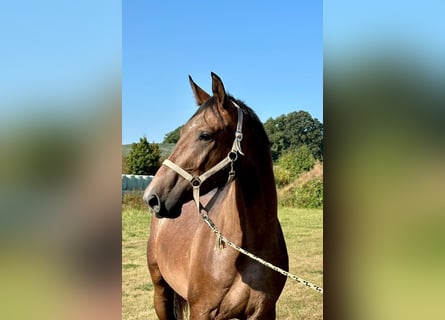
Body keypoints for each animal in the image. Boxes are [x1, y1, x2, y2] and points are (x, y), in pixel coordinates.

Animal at [143, 73, 288, 320]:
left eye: (205, 135)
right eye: (181, 133)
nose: (151, 198)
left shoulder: (264, 312)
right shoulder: (201, 311)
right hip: (160, 291)